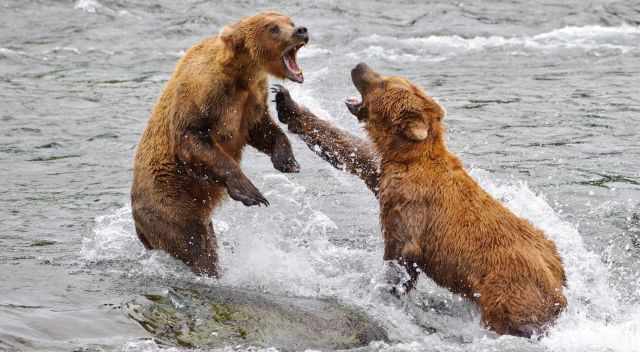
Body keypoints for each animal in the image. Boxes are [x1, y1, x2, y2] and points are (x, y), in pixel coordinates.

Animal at [131, 12, 310, 278]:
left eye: (290, 20)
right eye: (273, 28)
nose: (301, 30)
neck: (241, 74)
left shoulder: (252, 97)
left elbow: (261, 128)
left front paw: (287, 160)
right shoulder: (204, 93)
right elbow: (193, 139)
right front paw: (251, 193)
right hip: (172, 203)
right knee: (196, 247)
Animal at [272, 64, 568, 338]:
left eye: (383, 82)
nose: (359, 66)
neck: (407, 154)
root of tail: (560, 286)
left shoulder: (411, 204)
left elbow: (401, 253)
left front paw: (384, 293)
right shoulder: (383, 173)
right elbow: (351, 149)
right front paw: (285, 101)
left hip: (508, 289)